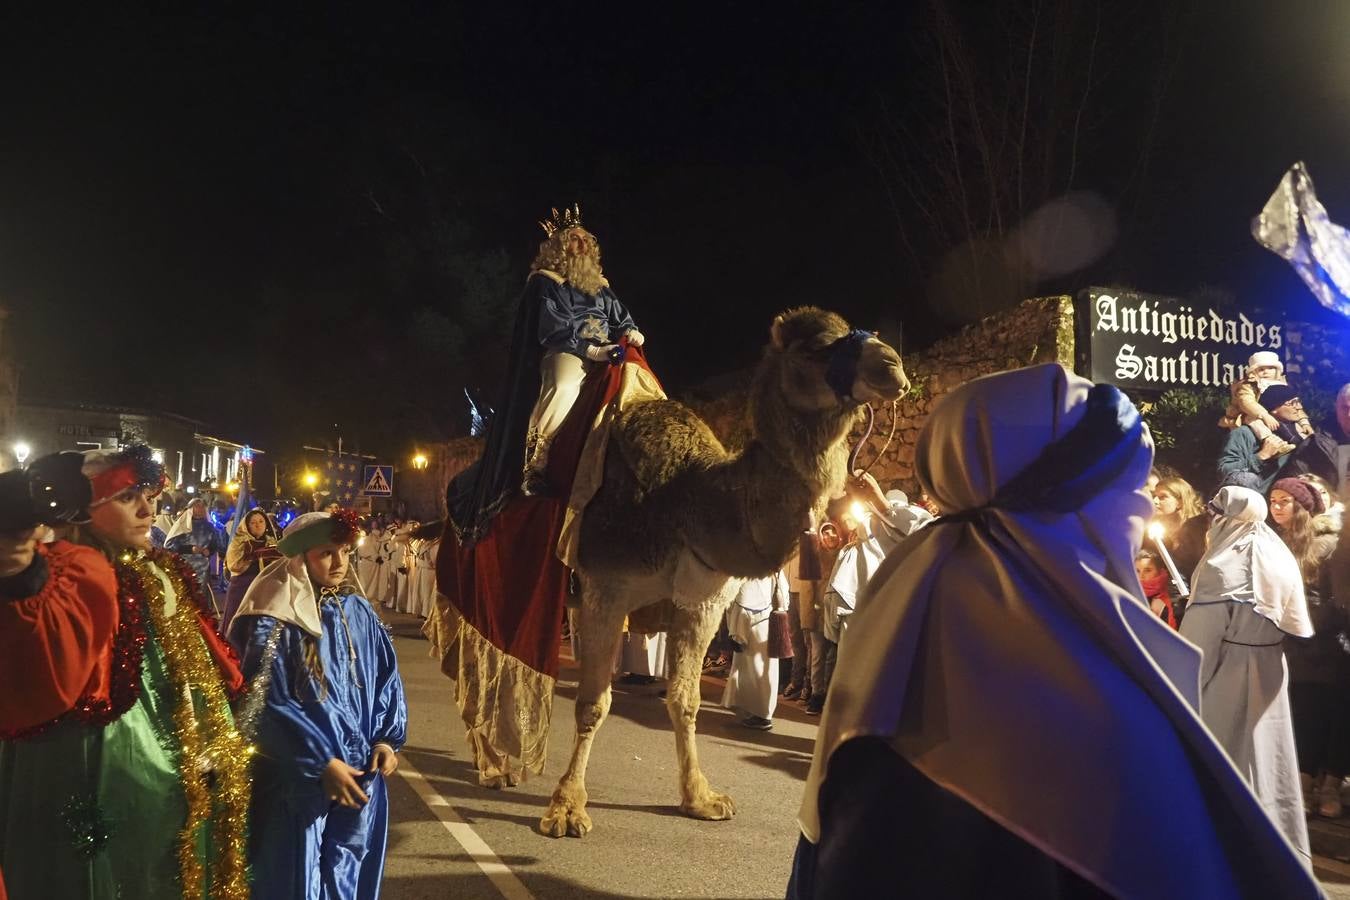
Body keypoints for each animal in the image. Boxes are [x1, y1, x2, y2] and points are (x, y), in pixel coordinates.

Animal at [537, 307, 907, 836]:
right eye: (815, 348)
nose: (892, 365)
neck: (688, 500)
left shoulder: (703, 600)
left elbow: (684, 701)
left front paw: (701, 798)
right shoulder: (607, 586)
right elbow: (593, 703)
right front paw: (567, 807)